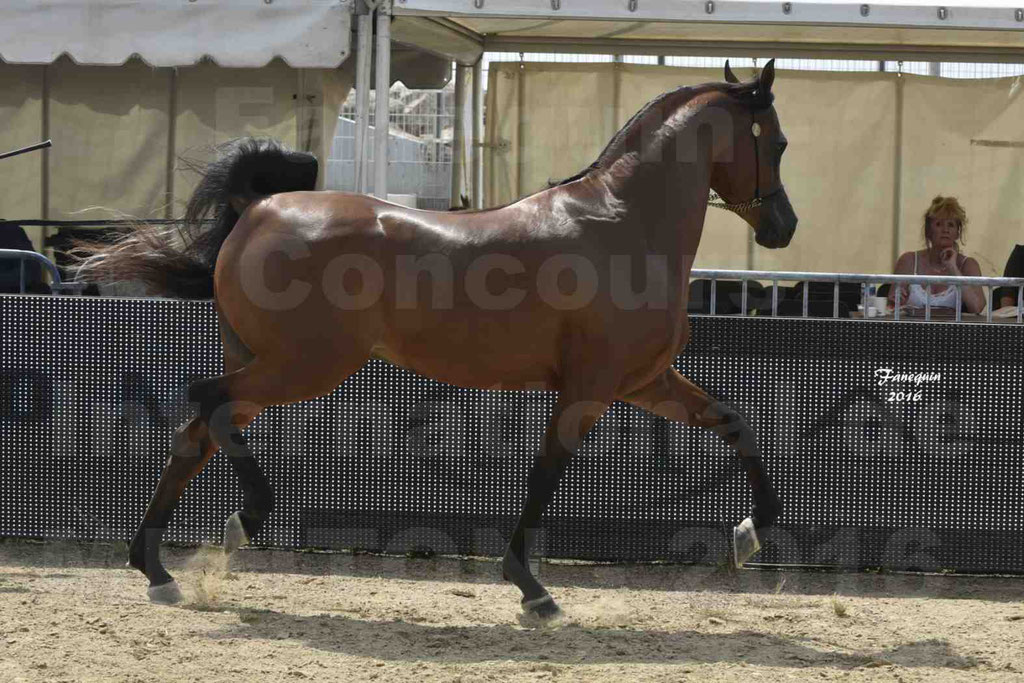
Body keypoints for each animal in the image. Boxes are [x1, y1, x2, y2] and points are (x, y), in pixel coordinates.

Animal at [81, 61, 798, 622]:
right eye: (779, 141)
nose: (784, 226)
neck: (622, 226)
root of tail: (258, 209)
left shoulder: (642, 381)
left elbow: (736, 422)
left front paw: (750, 535)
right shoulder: (589, 388)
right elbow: (546, 474)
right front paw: (532, 589)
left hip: (272, 363)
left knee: (198, 432)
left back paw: (159, 570)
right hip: (304, 365)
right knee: (208, 401)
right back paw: (241, 521)